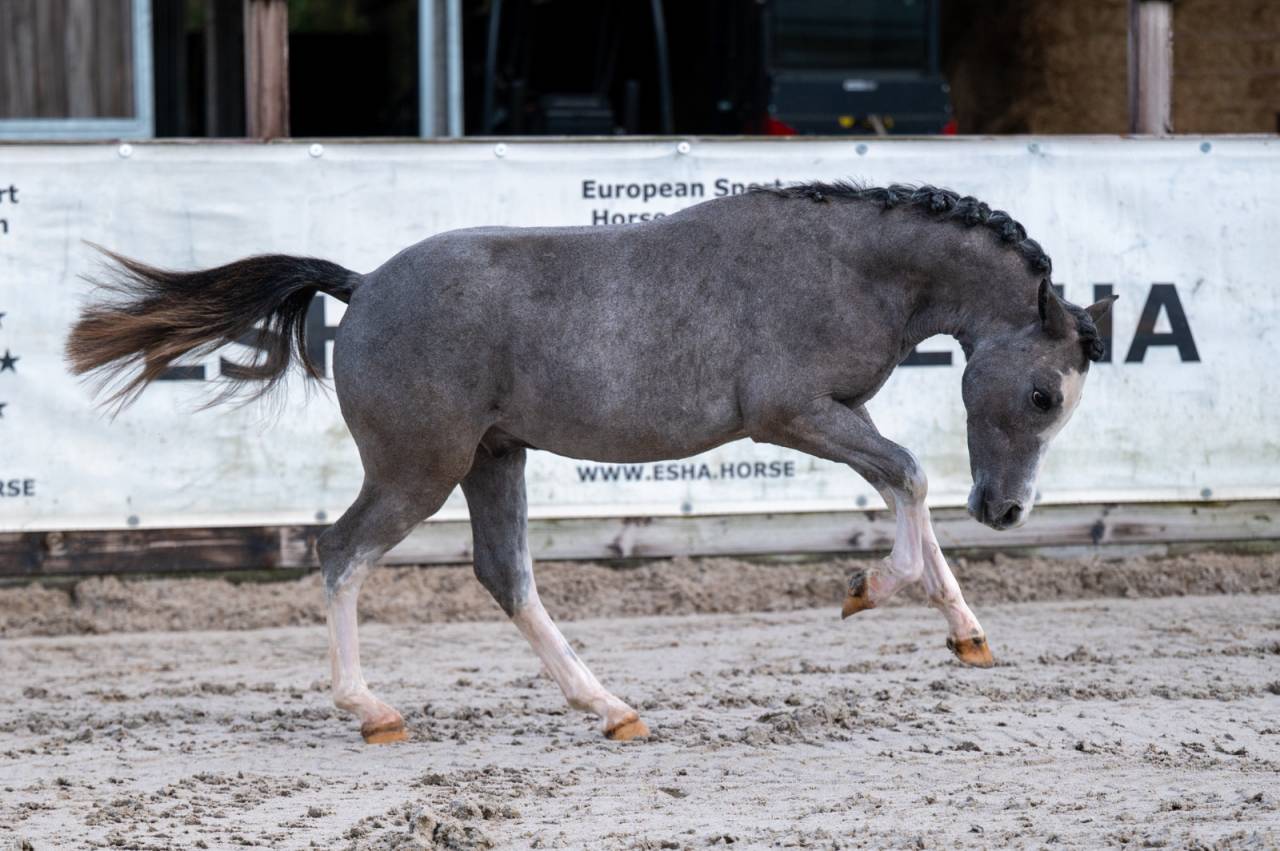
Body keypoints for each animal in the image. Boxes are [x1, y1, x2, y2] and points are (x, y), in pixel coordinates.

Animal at [66, 181, 1116, 745]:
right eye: (1044, 395)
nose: (1008, 511)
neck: (847, 262)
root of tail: (361, 289)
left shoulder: (837, 413)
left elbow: (904, 482)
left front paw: (965, 631)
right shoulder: (791, 414)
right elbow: (909, 475)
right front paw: (872, 588)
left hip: (494, 461)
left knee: (505, 574)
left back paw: (609, 707)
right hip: (419, 470)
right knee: (342, 552)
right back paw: (371, 708)